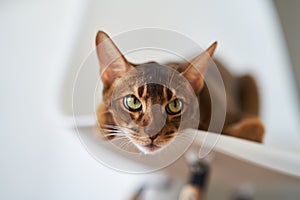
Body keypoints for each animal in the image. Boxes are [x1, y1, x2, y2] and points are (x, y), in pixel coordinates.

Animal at [95, 30, 264, 154]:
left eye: (175, 105)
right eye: (133, 102)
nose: (152, 133)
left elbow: (257, 127)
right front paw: (105, 124)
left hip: (250, 79)